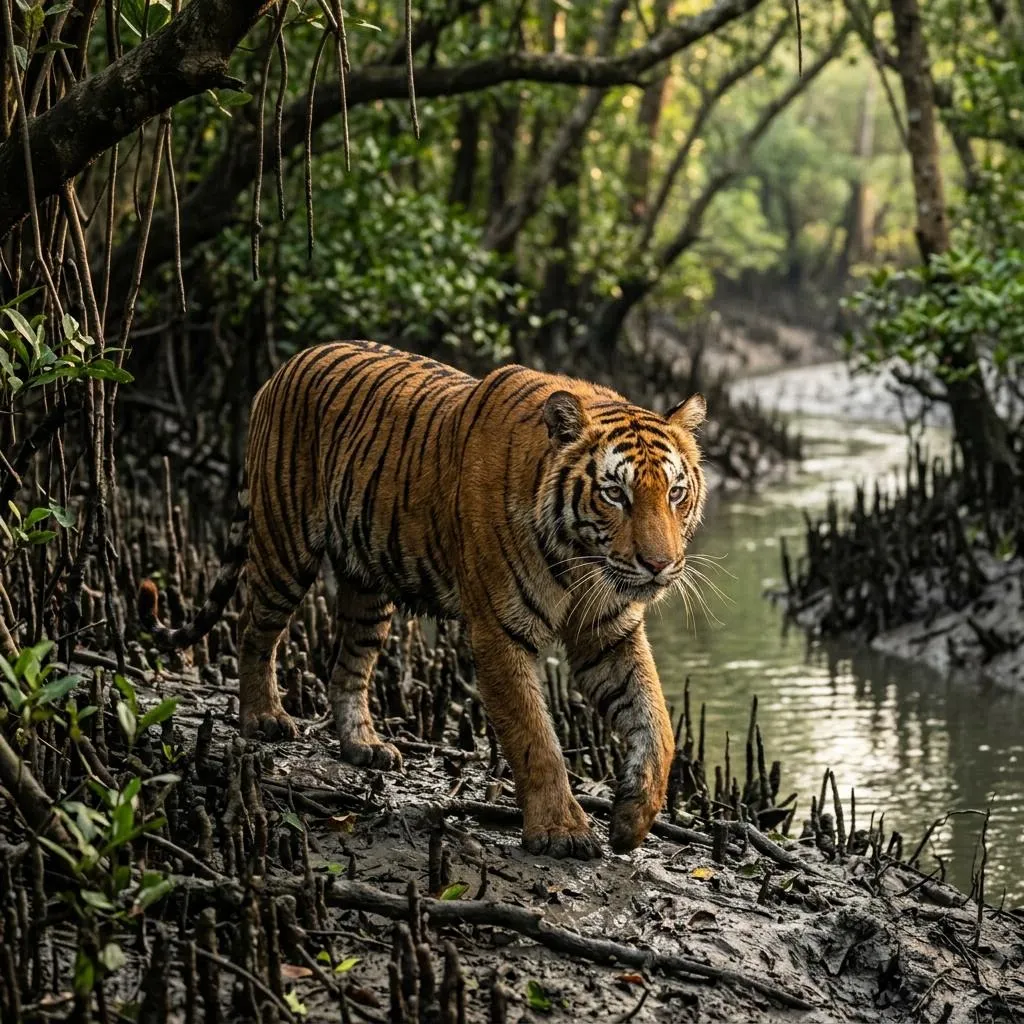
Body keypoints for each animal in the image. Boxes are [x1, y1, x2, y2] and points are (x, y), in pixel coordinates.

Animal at [139, 340, 708, 859]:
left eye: (675, 493)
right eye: (616, 494)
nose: (659, 565)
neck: (581, 562)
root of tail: (287, 365)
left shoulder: (609, 633)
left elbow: (657, 724)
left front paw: (633, 818)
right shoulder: (499, 632)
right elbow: (535, 737)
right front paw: (561, 831)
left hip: (369, 590)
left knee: (349, 669)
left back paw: (364, 746)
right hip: (285, 548)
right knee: (254, 631)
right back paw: (262, 716)